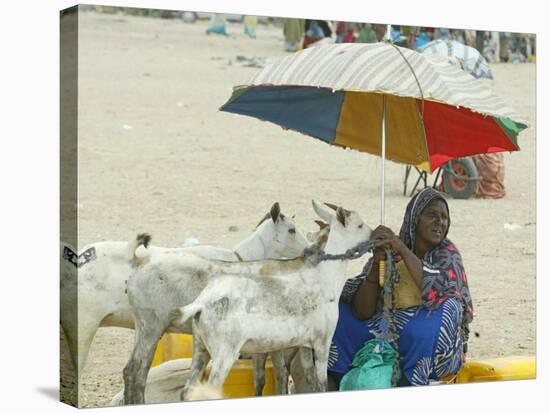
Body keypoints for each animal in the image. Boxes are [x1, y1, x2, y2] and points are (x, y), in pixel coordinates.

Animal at [122, 203, 308, 402]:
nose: (308, 249)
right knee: (137, 372)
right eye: (291, 230)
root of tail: (139, 265)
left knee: (129, 372)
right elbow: (272, 375)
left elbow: (271, 374)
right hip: (151, 329)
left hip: (141, 328)